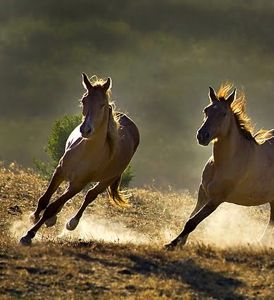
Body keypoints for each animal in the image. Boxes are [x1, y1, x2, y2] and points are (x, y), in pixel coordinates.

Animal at [19, 74, 139, 245]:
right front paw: (33, 217)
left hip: (107, 180)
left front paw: (28, 235)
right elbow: (44, 199)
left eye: (102, 104)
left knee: (90, 196)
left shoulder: (79, 184)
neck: (86, 152)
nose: (85, 129)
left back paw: (72, 223)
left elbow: (52, 207)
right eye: (84, 100)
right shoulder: (60, 171)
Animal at [165, 84, 274, 248]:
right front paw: (180, 243)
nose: (202, 136)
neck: (224, 162)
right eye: (206, 110)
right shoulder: (203, 192)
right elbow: (191, 216)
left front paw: (172, 244)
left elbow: (192, 222)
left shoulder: (216, 199)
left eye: (223, 113)